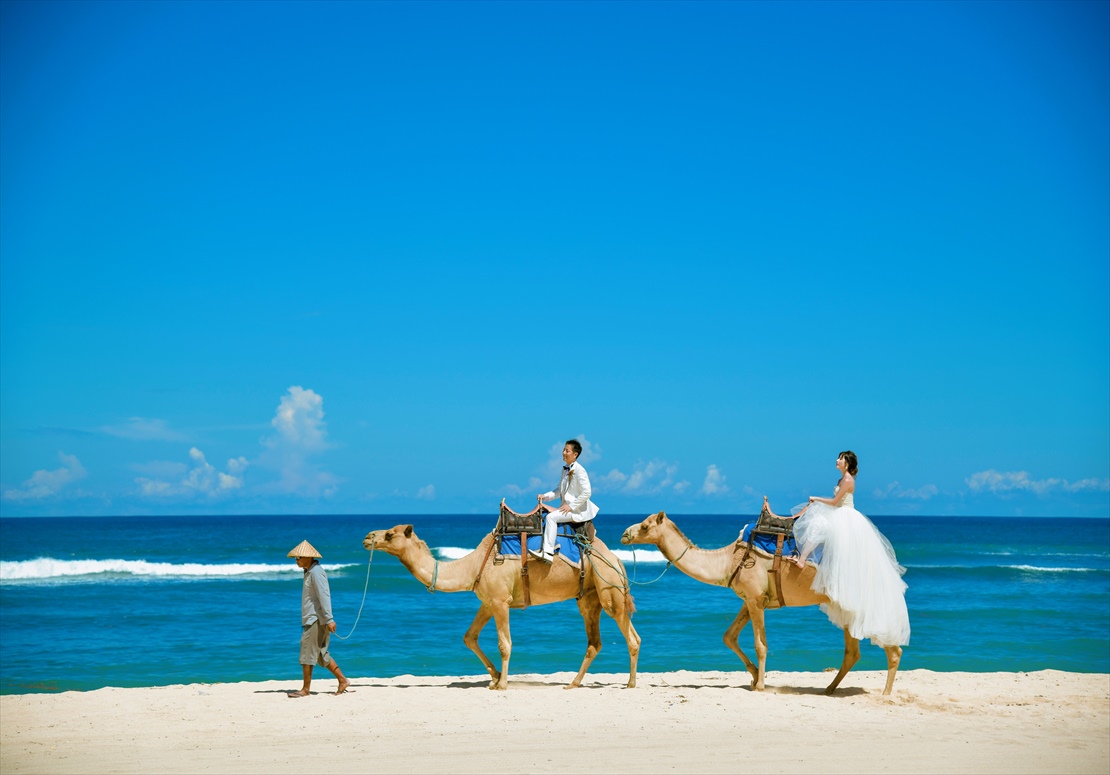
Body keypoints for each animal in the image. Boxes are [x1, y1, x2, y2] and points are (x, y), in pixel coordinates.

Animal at [364, 519, 643, 688]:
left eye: (390, 534)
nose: (368, 537)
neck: (474, 565)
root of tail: (616, 559)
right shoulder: (488, 602)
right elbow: (469, 637)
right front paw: (494, 677)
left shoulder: (500, 601)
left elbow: (504, 644)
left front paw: (502, 684)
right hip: (589, 596)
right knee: (595, 641)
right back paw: (573, 683)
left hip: (609, 587)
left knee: (631, 636)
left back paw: (630, 683)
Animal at [617, 510, 901, 692]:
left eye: (645, 525)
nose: (624, 534)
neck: (727, 560)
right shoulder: (749, 599)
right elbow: (729, 636)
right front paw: (754, 677)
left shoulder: (755, 599)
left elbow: (760, 645)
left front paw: (762, 684)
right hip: (846, 606)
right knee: (852, 652)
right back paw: (829, 689)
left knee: (891, 646)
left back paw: (886, 694)